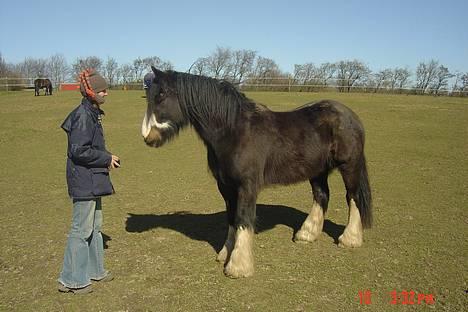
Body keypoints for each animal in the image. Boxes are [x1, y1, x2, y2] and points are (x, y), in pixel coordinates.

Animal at [141, 67, 372, 278]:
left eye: (161, 95)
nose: (148, 137)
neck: (233, 131)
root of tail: (350, 115)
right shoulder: (225, 186)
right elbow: (232, 218)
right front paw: (225, 254)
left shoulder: (247, 185)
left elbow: (243, 218)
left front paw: (238, 267)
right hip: (317, 170)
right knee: (322, 196)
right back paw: (306, 234)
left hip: (349, 166)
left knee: (353, 197)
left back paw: (349, 239)